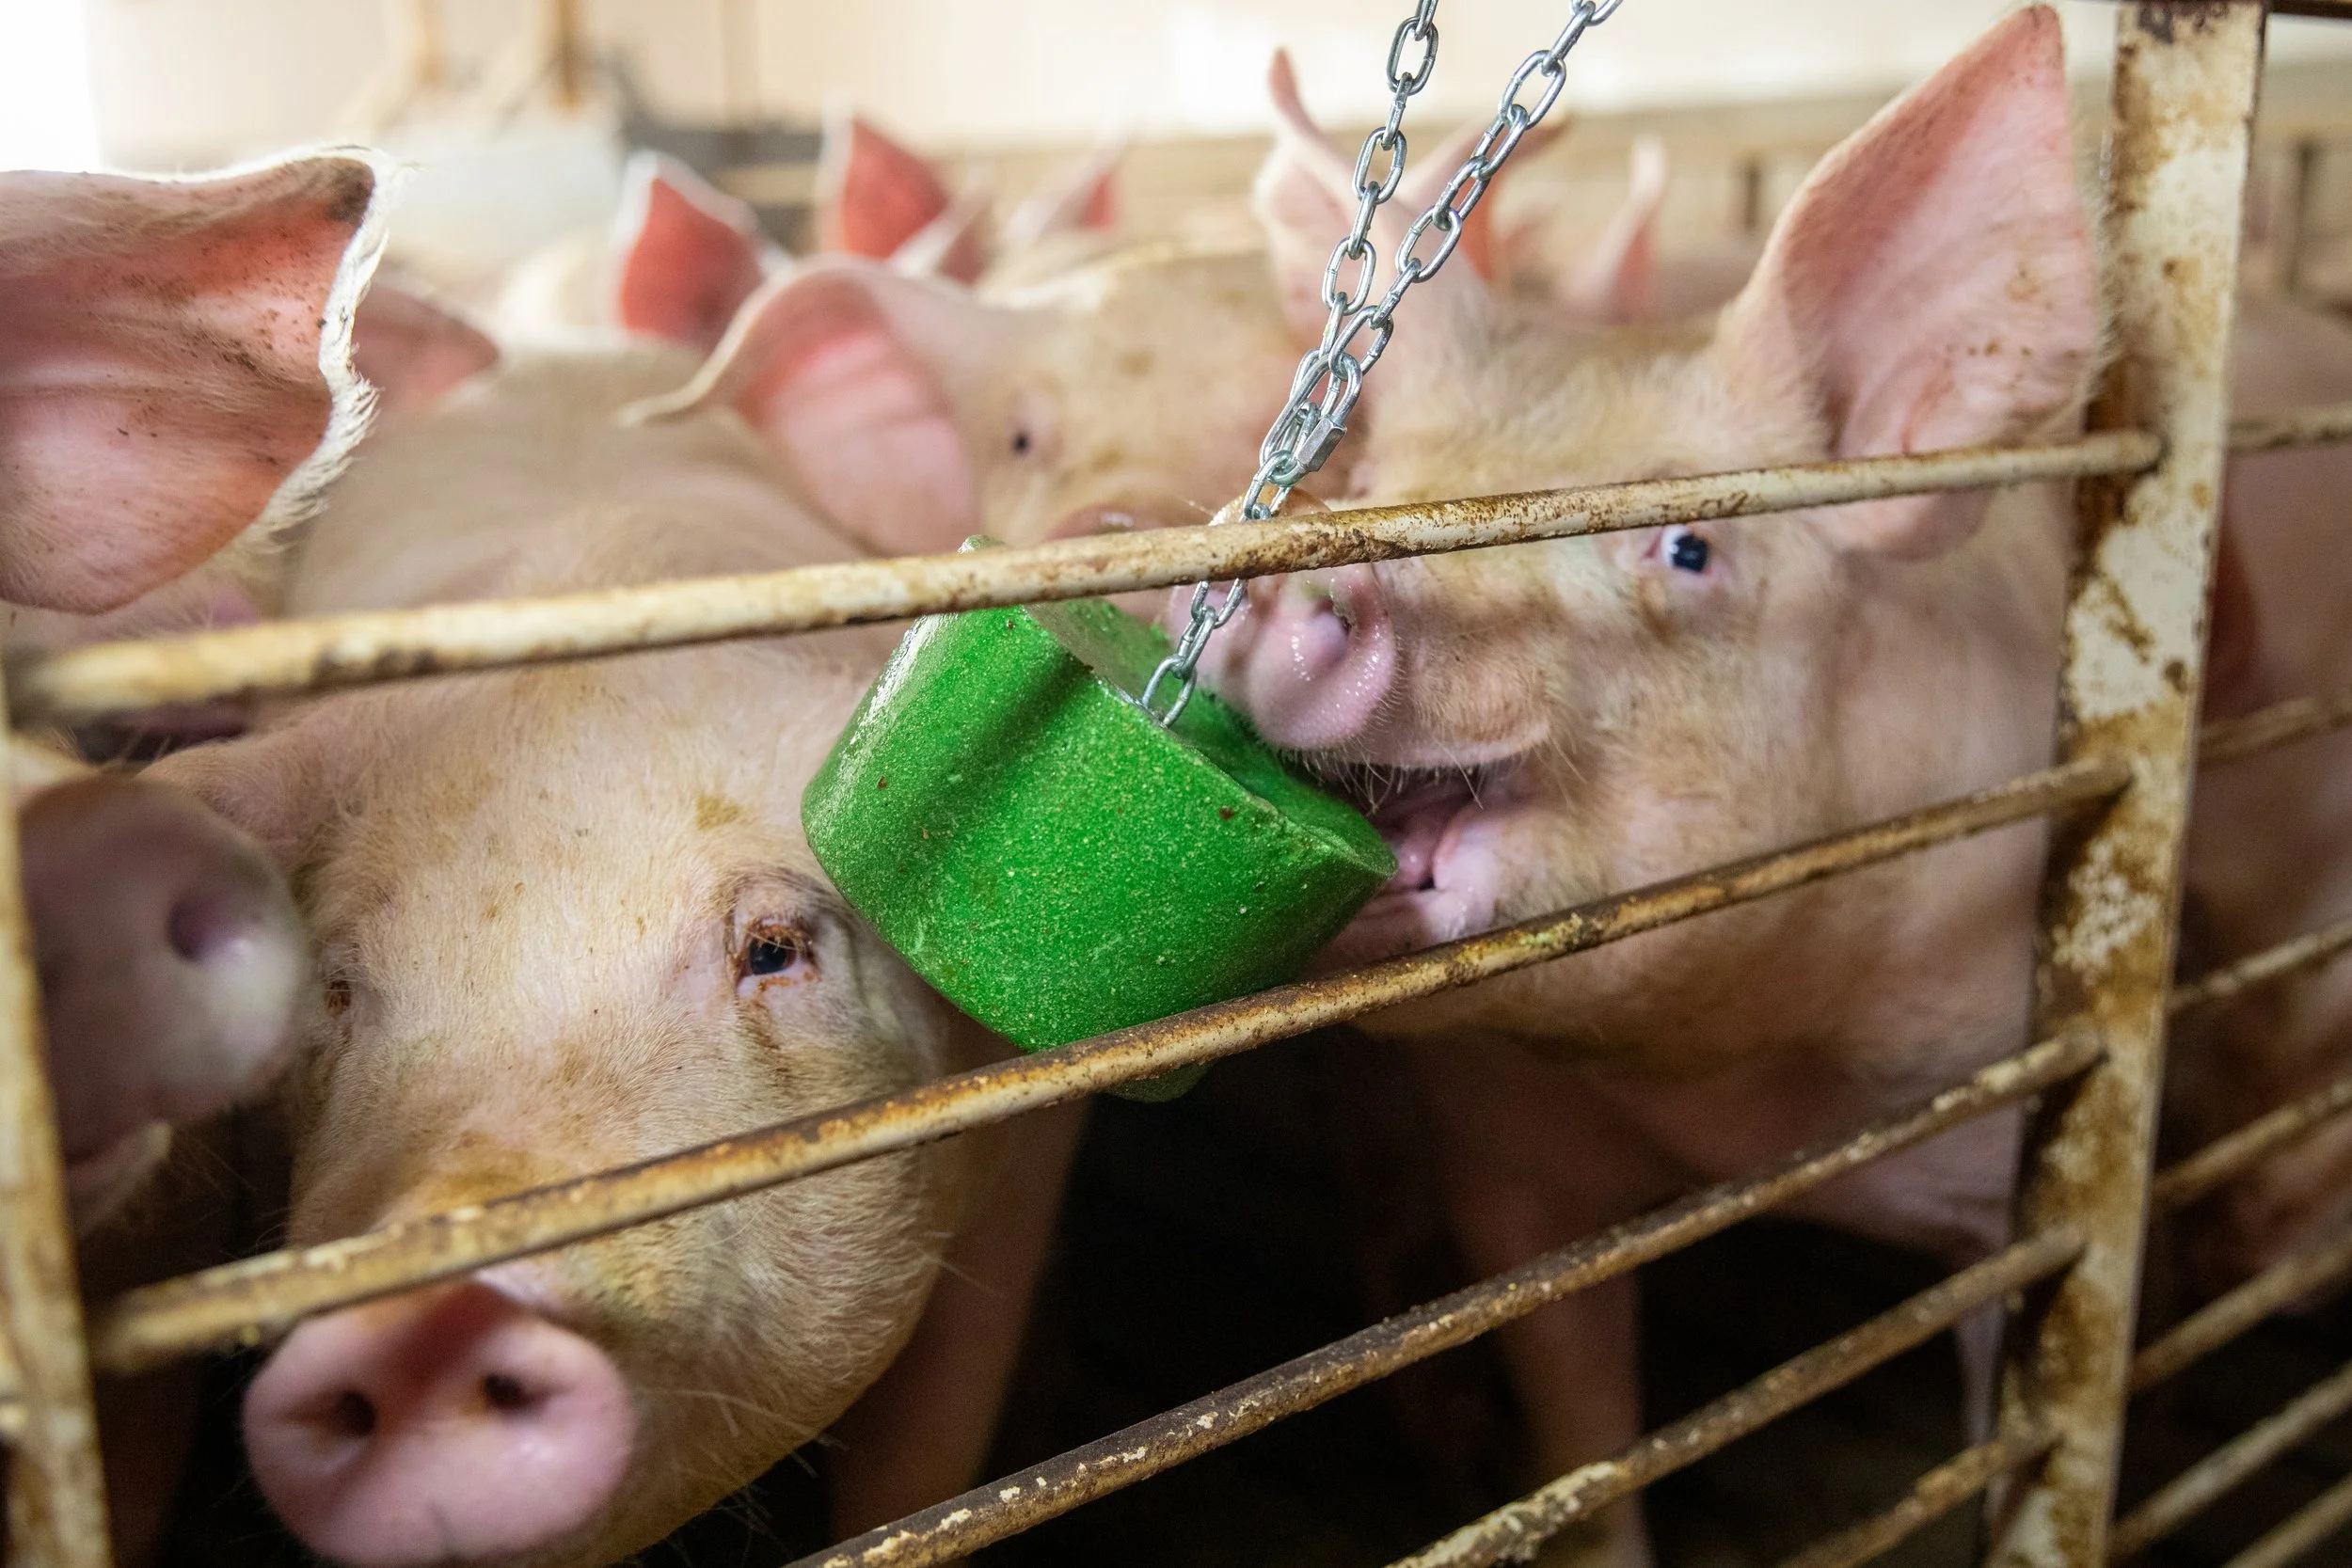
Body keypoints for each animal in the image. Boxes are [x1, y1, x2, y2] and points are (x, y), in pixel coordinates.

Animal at [1191, 12, 2098, 1563]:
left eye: (1688, 547)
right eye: (1370, 477)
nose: (1288, 567)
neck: (1743, 1099)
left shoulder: (2011, 1107)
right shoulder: (1516, 1178)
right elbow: (1583, 1448)